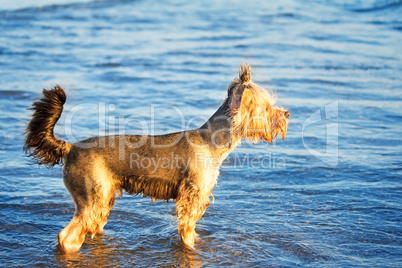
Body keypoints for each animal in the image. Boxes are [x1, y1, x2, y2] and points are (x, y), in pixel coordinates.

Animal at [23, 65, 288, 253]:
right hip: (91, 198)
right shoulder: (192, 199)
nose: (286, 113)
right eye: (266, 107)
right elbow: (187, 234)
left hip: (103, 198)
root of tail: (70, 148)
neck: (213, 141)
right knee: (66, 236)